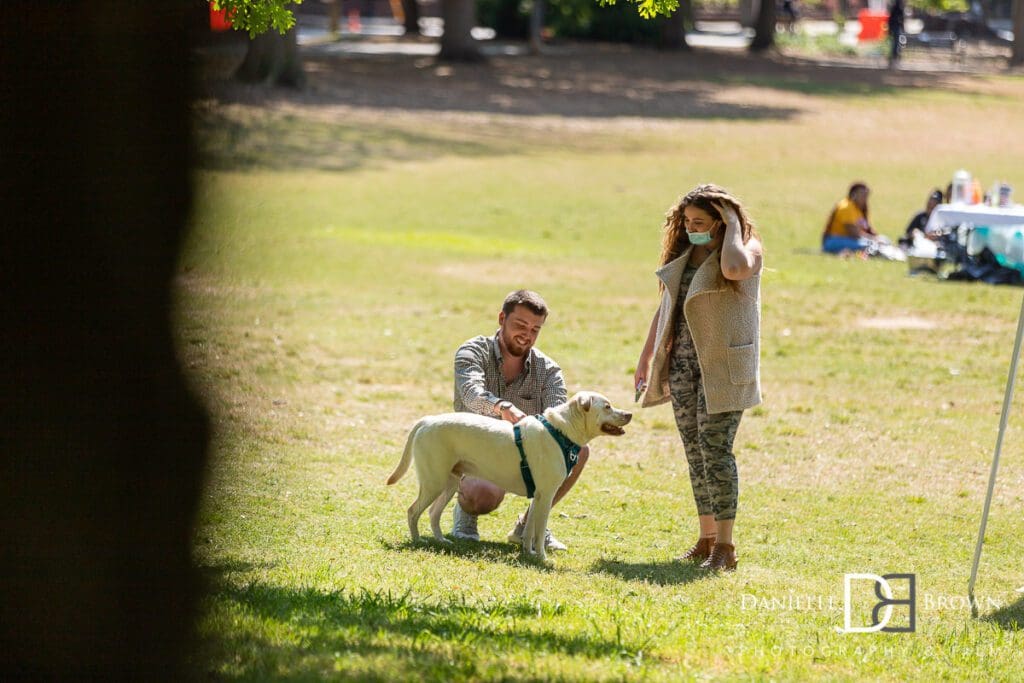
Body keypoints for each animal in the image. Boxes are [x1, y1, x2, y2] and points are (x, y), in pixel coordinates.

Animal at [387, 389, 630, 561]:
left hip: (450, 483)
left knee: (433, 513)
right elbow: (539, 531)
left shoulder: (538, 497)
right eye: (607, 406)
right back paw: (417, 540)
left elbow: (530, 529)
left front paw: (529, 554)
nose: (629, 414)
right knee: (413, 511)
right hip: (434, 482)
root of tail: (427, 420)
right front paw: (542, 558)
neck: (562, 431)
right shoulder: (547, 495)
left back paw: (441, 541)